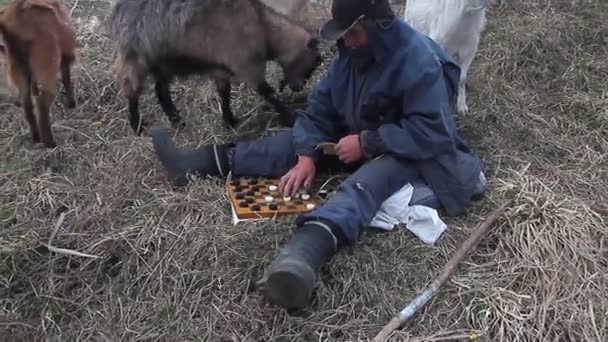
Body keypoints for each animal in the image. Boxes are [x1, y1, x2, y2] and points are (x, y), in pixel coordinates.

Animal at [0, 0, 78, 148]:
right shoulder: (66, 51)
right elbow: (66, 76)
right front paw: (72, 103)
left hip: (18, 67)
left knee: (27, 103)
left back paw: (36, 137)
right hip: (47, 64)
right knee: (42, 102)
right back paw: (50, 143)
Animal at [105, 0, 324, 135]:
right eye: (314, 62)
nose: (297, 87)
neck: (262, 26)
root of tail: (115, 12)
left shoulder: (221, 67)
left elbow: (224, 93)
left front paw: (229, 121)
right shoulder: (245, 63)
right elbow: (267, 92)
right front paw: (290, 116)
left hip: (165, 62)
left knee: (161, 91)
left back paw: (178, 121)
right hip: (134, 58)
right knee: (132, 92)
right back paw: (136, 126)